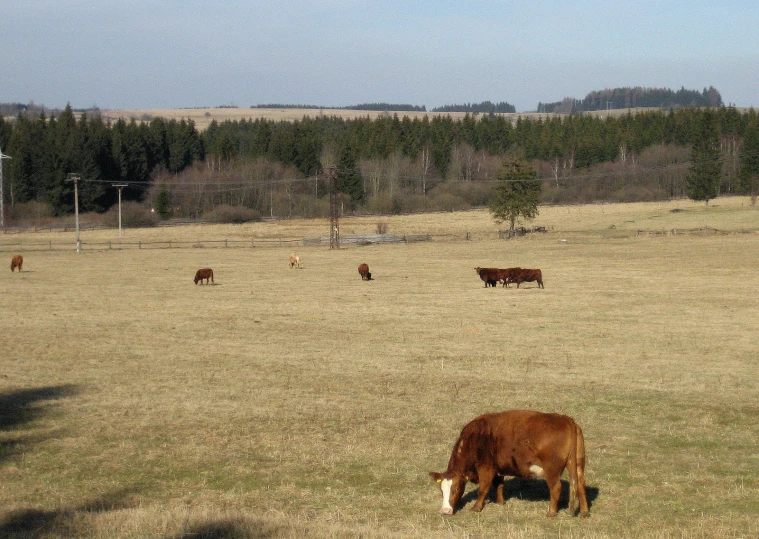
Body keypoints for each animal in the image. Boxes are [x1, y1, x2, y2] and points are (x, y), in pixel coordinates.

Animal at [430, 412, 592, 520]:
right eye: (441, 490)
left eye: (456, 488)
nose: (445, 511)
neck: (475, 437)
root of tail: (566, 419)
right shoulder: (497, 469)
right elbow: (499, 485)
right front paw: (500, 502)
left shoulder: (486, 467)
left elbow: (483, 488)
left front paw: (476, 507)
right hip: (578, 464)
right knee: (580, 485)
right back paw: (584, 512)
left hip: (551, 469)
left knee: (556, 488)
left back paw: (551, 512)